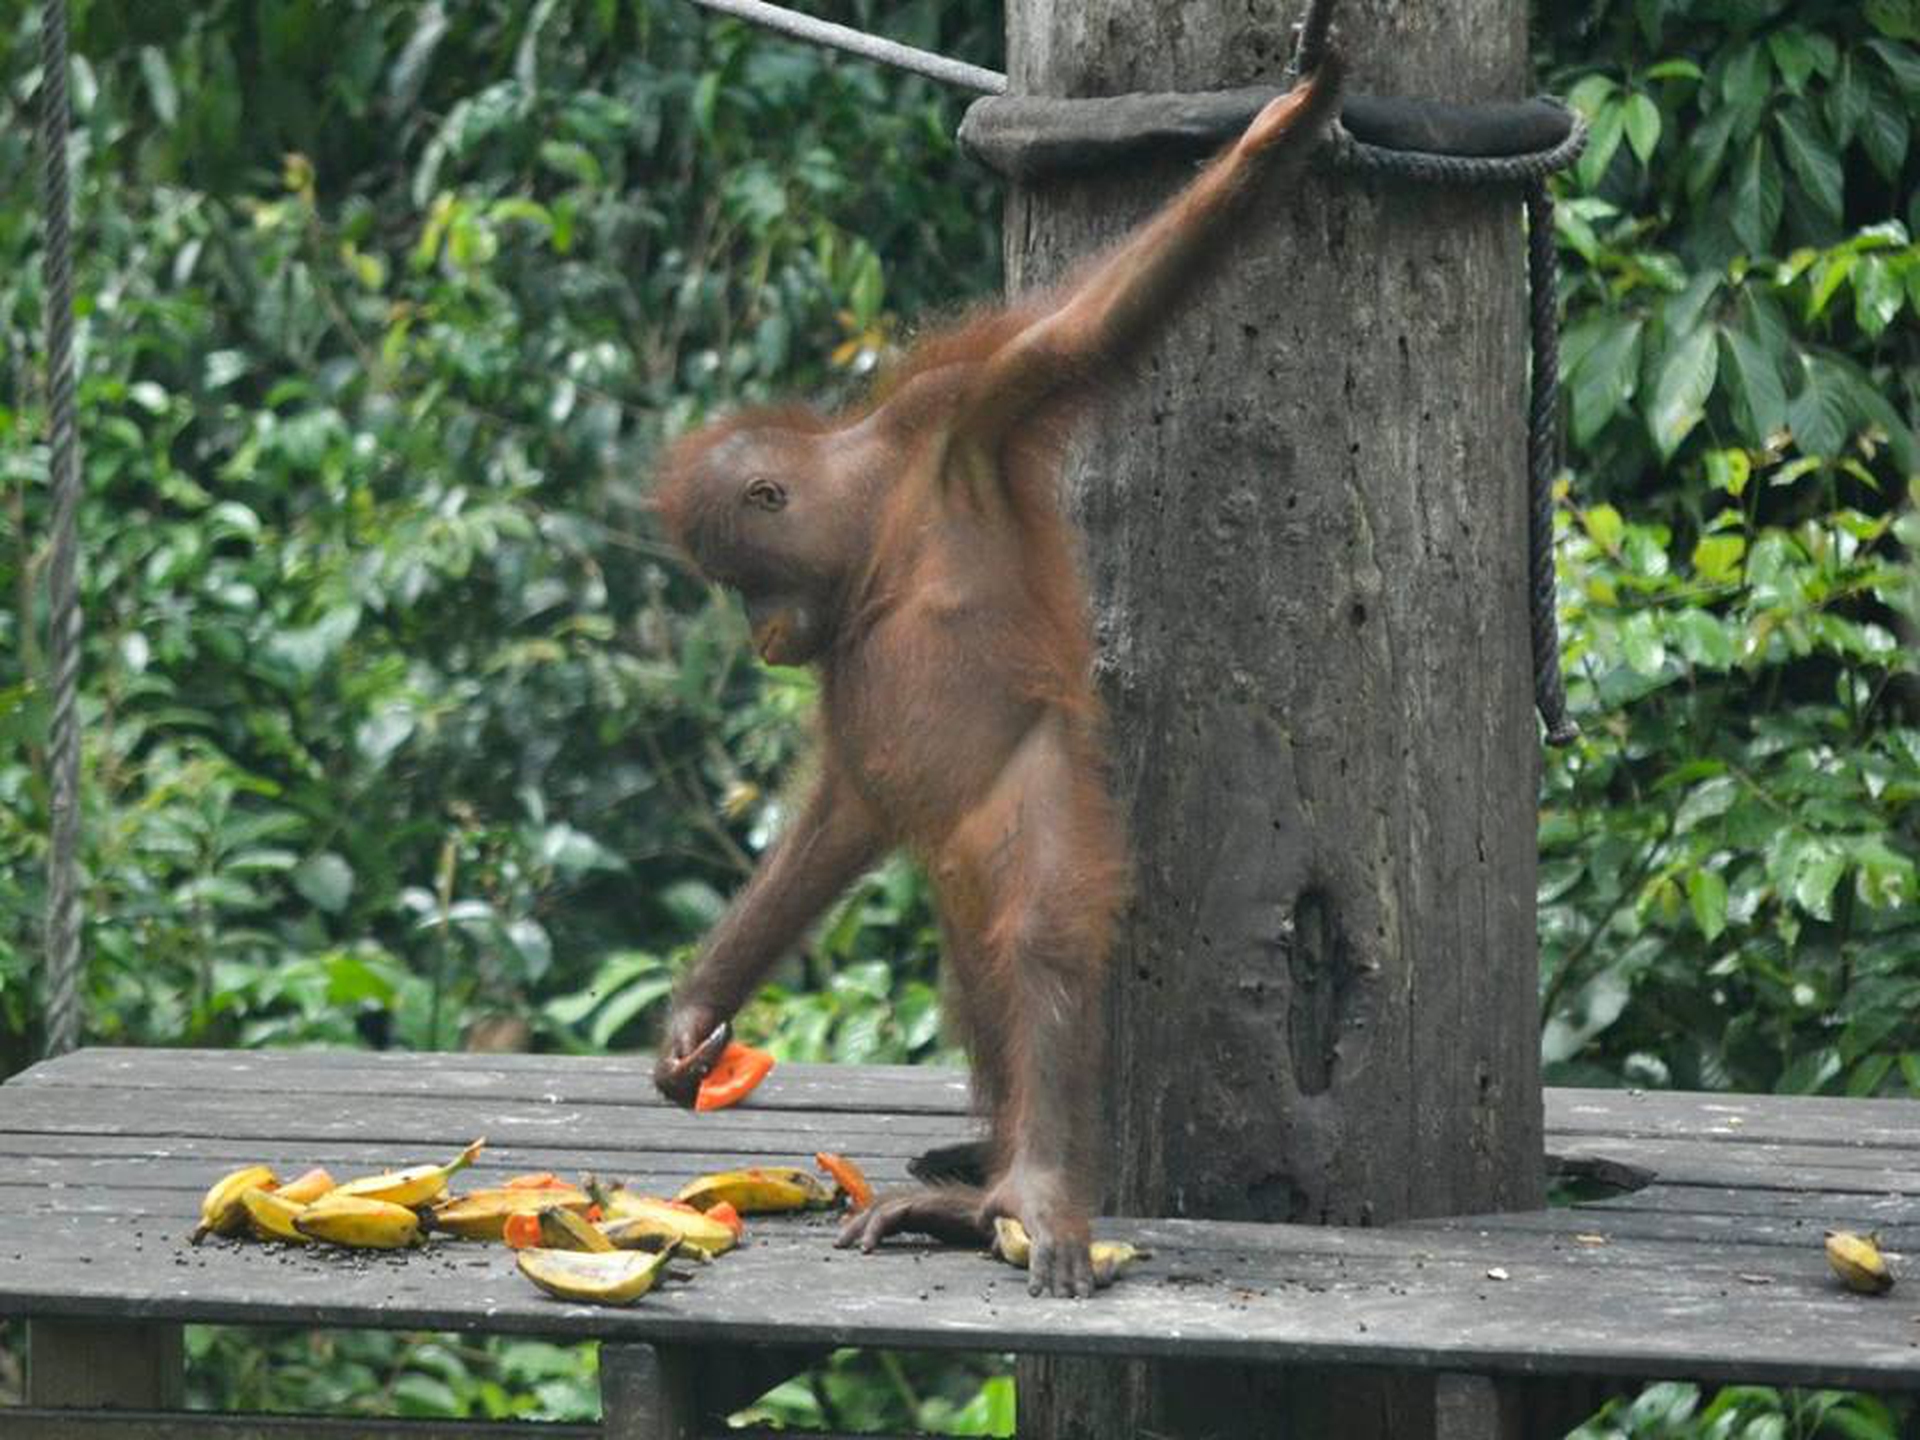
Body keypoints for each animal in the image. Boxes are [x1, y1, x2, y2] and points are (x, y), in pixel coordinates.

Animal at [650, 56, 1343, 1298]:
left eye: (739, 579)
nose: (757, 633)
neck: (876, 515)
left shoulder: (966, 416)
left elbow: (1078, 334)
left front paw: (1281, 131)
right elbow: (842, 809)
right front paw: (696, 1020)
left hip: (1039, 788)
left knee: (1038, 939)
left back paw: (1036, 1196)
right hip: (956, 863)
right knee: (981, 971)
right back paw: (975, 1205)